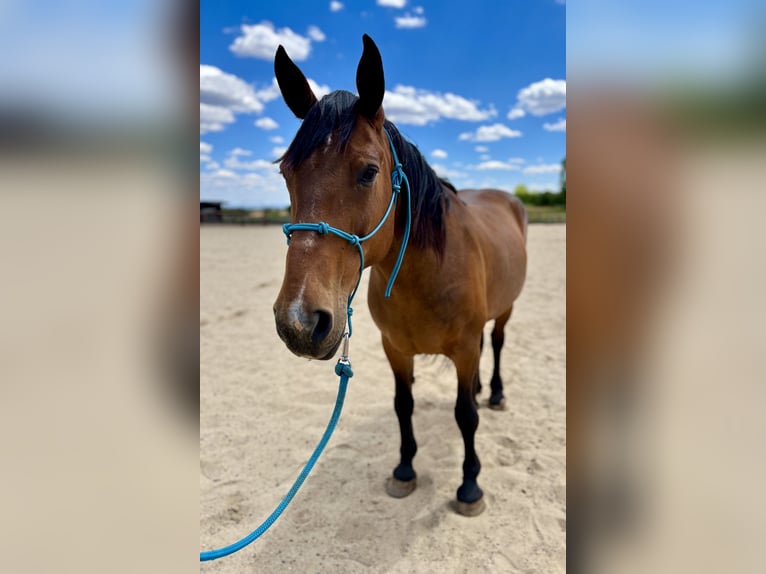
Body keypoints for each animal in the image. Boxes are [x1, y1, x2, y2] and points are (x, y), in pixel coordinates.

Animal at [272, 36, 532, 520]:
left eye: (369, 171)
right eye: (286, 173)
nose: (299, 321)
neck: (425, 276)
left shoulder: (463, 349)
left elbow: (465, 415)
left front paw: (470, 486)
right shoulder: (395, 349)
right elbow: (403, 405)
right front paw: (405, 469)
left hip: (505, 310)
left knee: (497, 343)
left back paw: (494, 393)